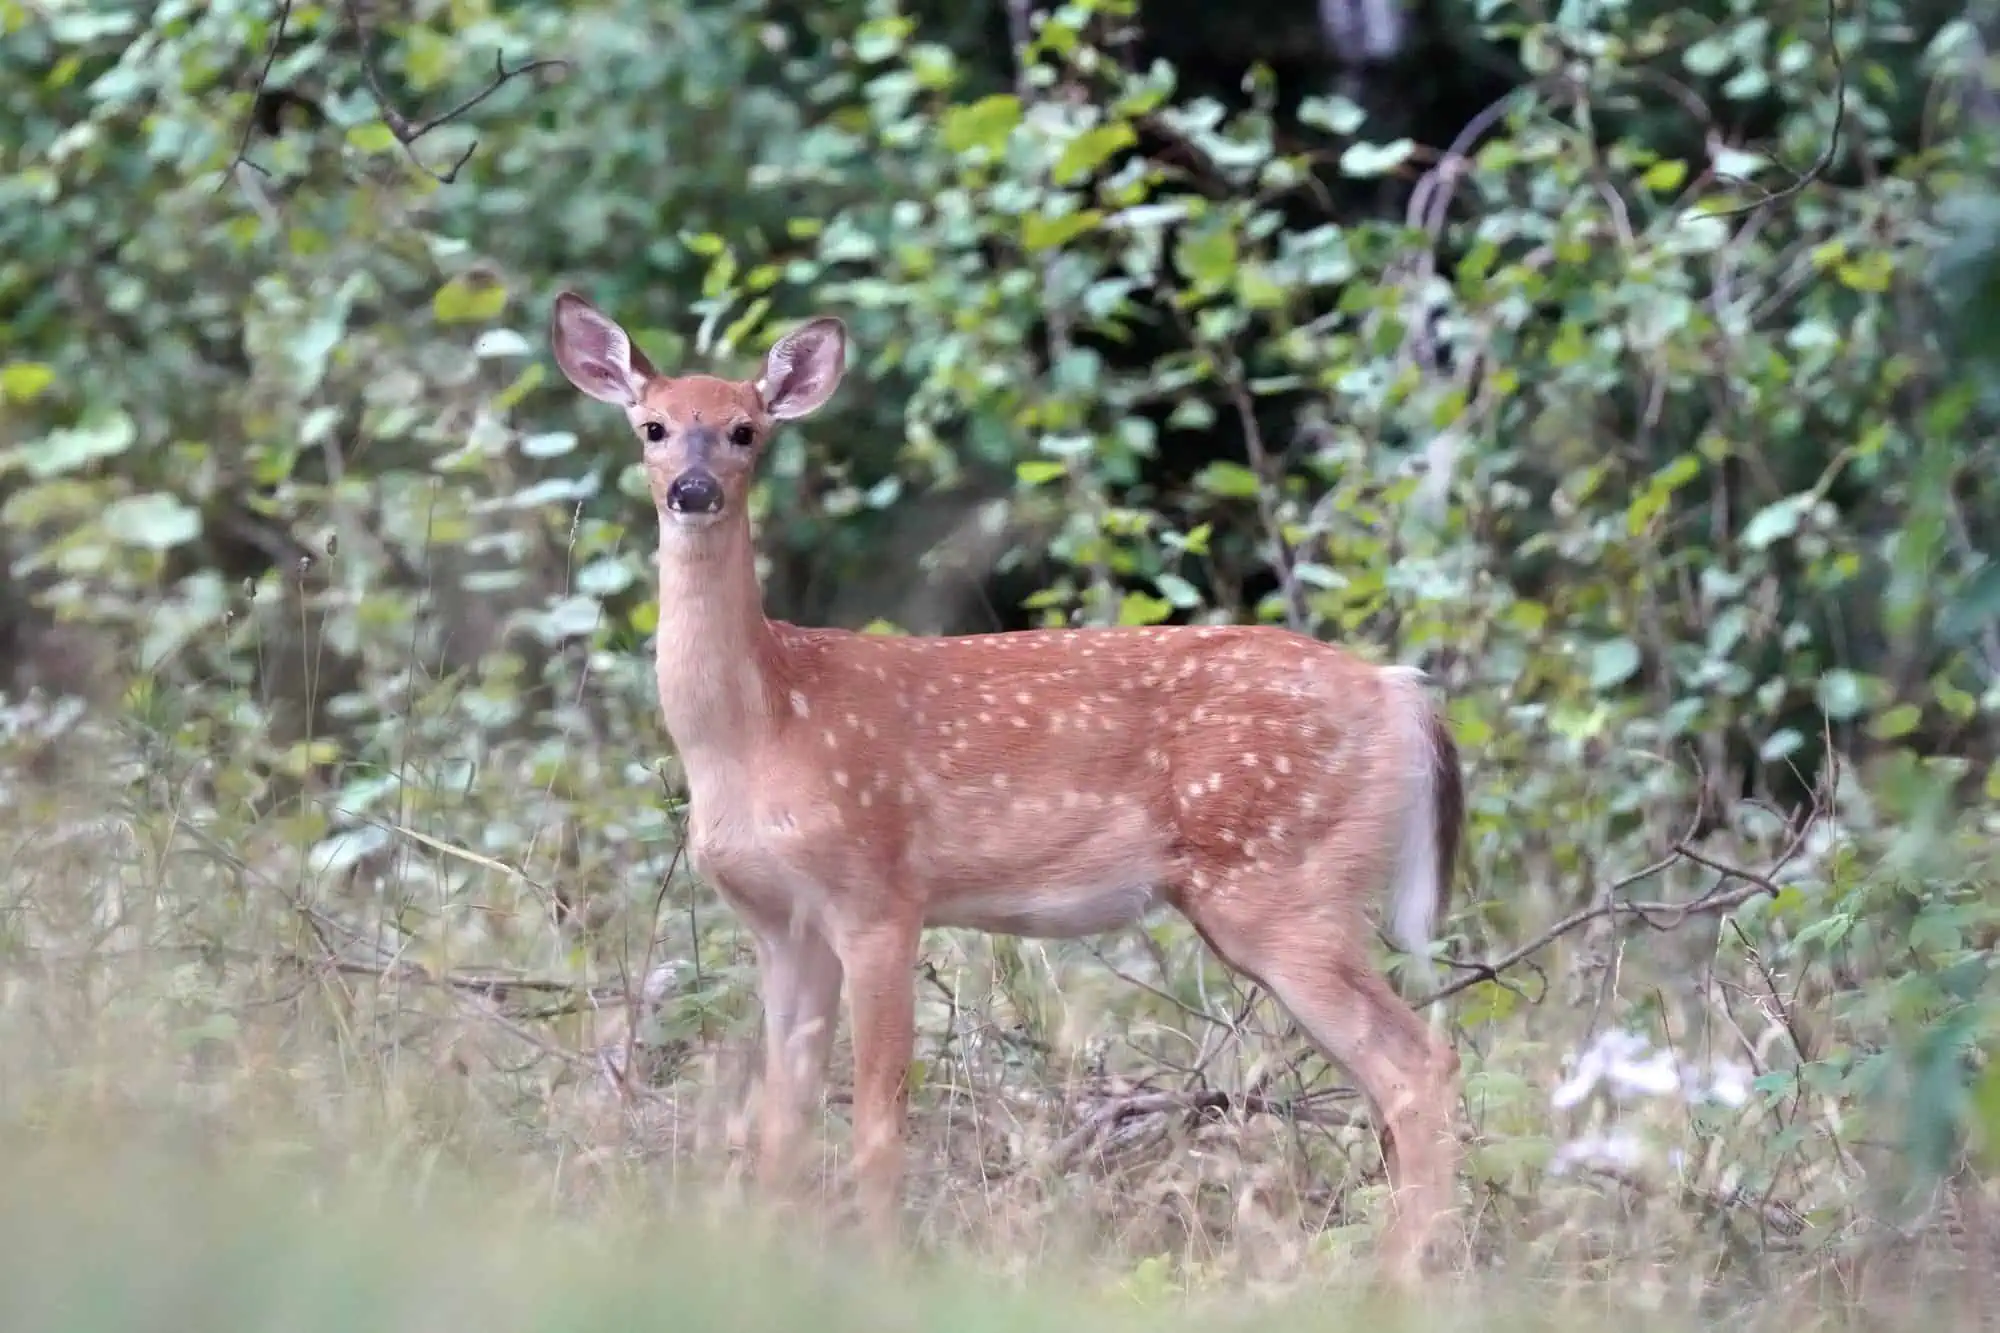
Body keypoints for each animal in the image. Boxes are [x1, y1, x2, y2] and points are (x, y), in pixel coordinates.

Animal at [549, 289, 1467, 1281]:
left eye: (744, 430)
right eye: (652, 427)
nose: (693, 489)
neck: (764, 726)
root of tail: (1401, 694)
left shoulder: (879, 892)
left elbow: (877, 1125)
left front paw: (884, 1270)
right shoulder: (780, 924)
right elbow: (779, 1127)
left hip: (1283, 879)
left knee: (1419, 1064)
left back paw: (1394, 1276)